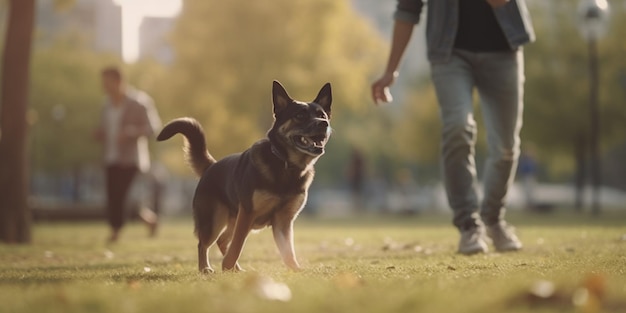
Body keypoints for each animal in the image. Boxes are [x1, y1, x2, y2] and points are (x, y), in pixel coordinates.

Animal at [156, 80, 332, 272]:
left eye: (322, 115)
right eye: (300, 115)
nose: (323, 123)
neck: (285, 164)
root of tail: (211, 165)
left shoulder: (283, 221)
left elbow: (288, 251)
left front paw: (295, 269)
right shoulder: (248, 213)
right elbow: (238, 245)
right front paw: (226, 266)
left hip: (233, 219)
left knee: (222, 240)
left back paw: (235, 269)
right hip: (215, 220)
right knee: (204, 243)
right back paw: (205, 268)